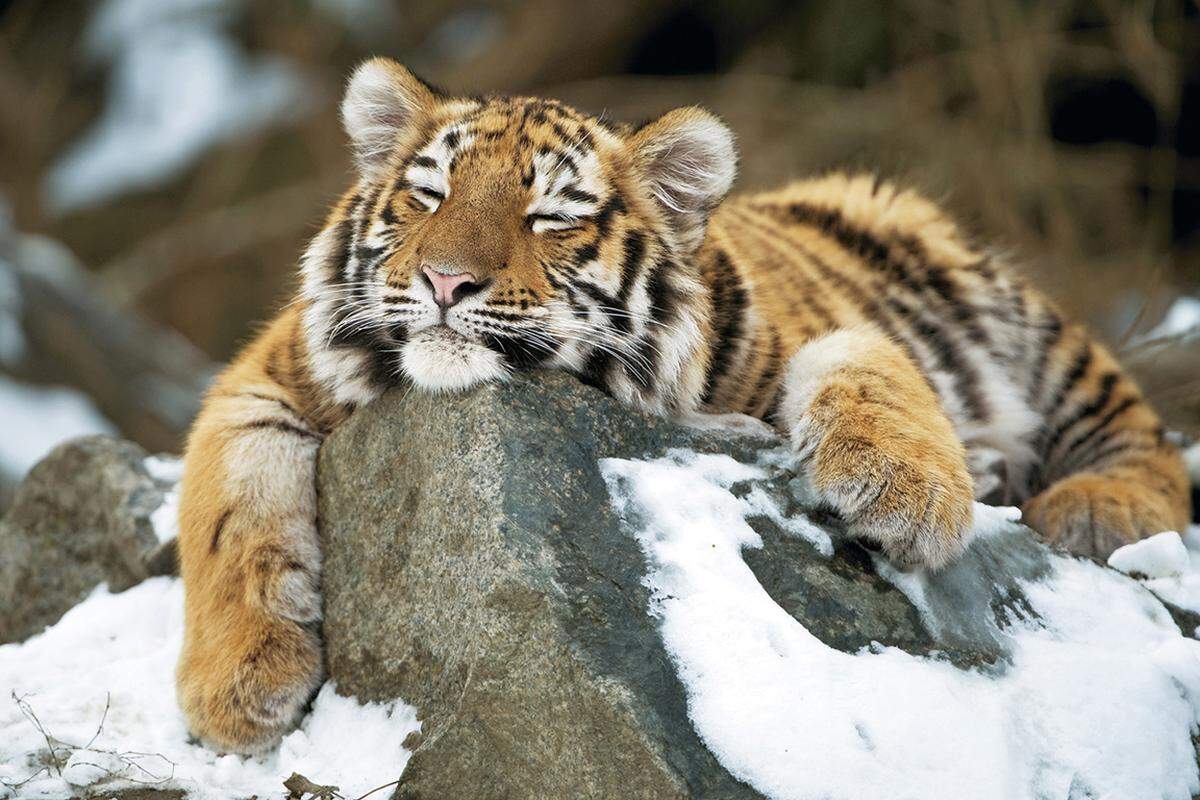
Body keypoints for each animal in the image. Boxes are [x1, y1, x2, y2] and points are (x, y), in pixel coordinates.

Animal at [175, 59, 1190, 753]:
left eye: (549, 217)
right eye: (428, 196)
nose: (445, 281)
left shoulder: (820, 334)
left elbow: (867, 362)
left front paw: (913, 498)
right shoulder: (264, 375)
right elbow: (228, 510)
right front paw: (236, 689)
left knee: (1146, 438)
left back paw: (1094, 506)